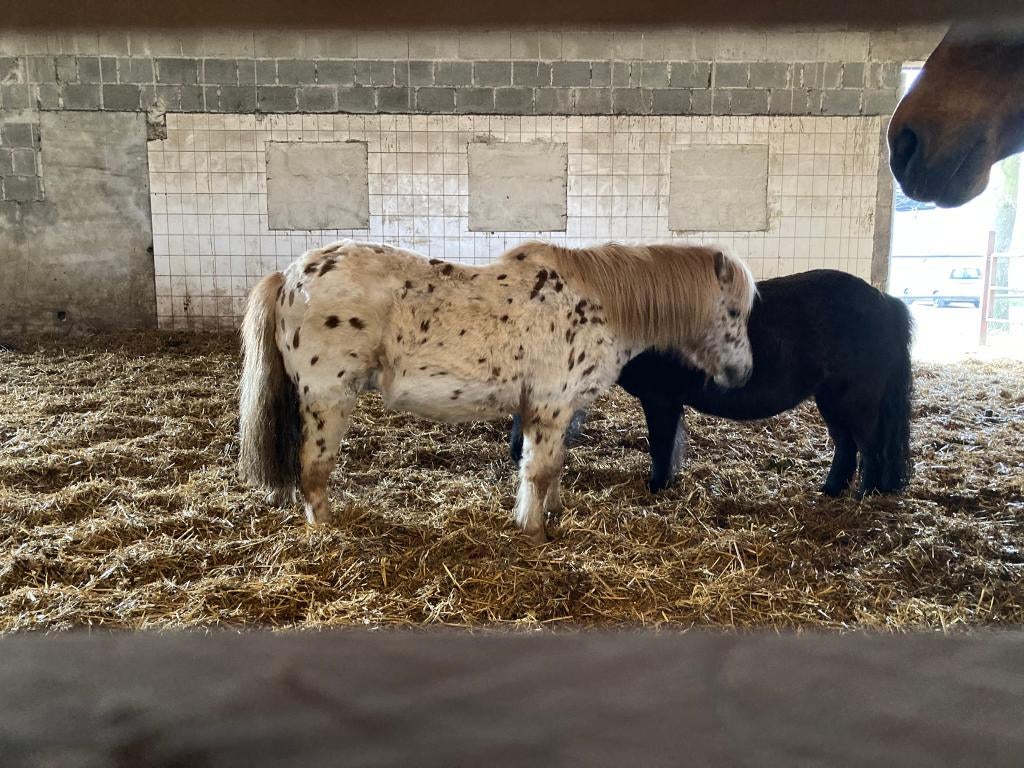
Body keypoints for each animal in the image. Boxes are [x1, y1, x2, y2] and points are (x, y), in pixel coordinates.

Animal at [238, 239, 757, 544]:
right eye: (734, 312)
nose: (743, 373)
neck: (593, 302)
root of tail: (290, 278)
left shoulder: (550, 412)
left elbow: (551, 466)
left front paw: (550, 512)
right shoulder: (550, 407)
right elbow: (540, 471)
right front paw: (535, 531)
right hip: (328, 400)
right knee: (313, 469)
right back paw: (325, 530)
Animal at [510, 270, 914, 498]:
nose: (517, 454)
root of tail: (885, 301)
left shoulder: (661, 399)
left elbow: (661, 443)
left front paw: (655, 487)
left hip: (856, 400)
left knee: (870, 446)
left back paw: (864, 495)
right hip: (831, 400)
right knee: (847, 445)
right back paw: (831, 491)